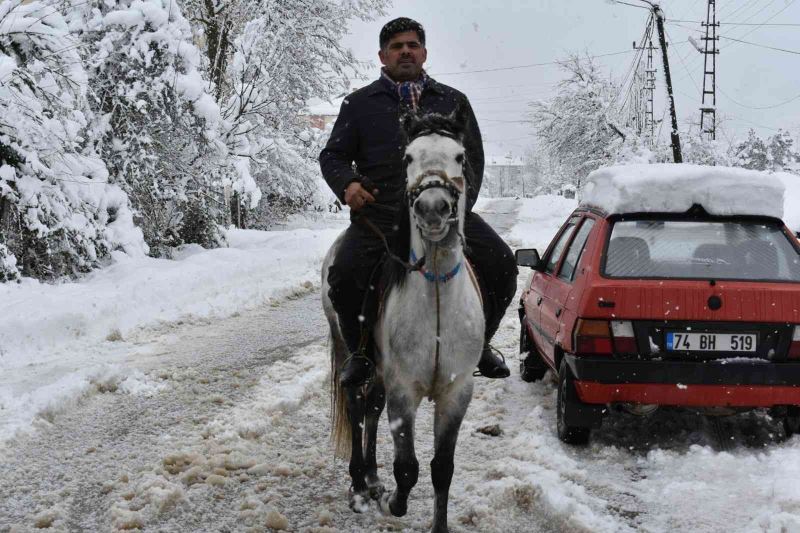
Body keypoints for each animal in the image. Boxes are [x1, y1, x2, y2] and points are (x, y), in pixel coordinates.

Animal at [322, 111, 484, 532]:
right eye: (408, 157)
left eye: (460, 156)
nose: (432, 208)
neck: (437, 295)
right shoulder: (404, 391)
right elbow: (407, 468)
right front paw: (391, 501)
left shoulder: (456, 393)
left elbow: (442, 468)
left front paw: (438, 525)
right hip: (352, 350)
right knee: (356, 407)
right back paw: (360, 485)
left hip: (380, 370)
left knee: (371, 407)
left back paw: (372, 477)